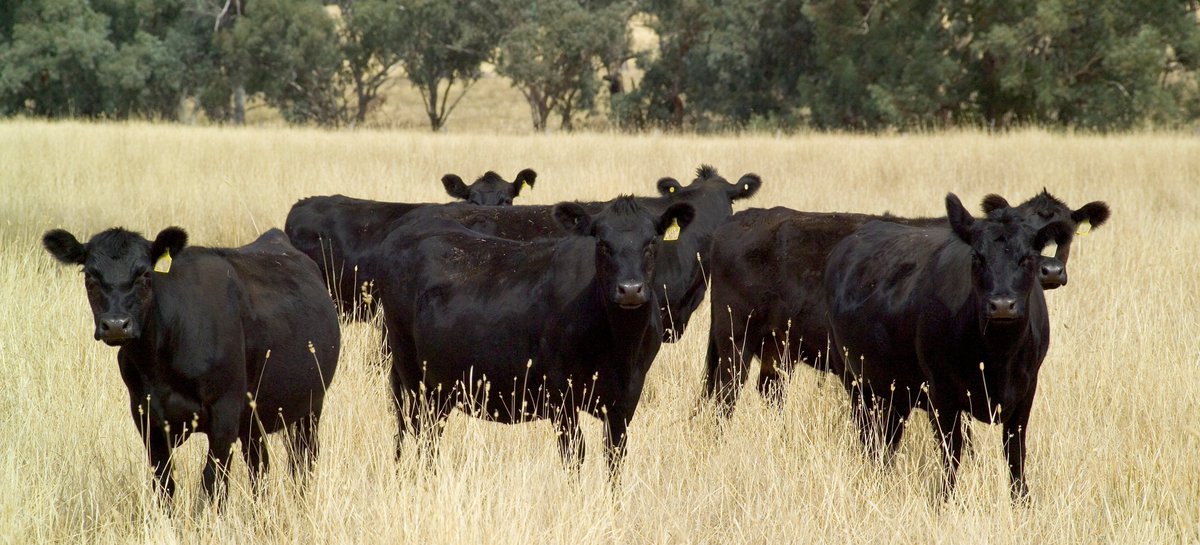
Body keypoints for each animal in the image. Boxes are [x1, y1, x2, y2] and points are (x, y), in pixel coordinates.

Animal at [42, 227, 340, 500]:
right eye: (90, 276)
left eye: (145, 275)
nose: (116, 325)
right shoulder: (147, 418)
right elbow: (165, 485)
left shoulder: (225, 414)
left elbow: (211, 485)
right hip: (255, 419)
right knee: (260, 467)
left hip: (310, 406)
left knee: (302, 462)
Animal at [371, 196, 695, 478]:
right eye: (602, 244)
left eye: (652, 242)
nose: (630, 289)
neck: (620, 346)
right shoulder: (560, 395)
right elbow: (574, 453)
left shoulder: (625, 400)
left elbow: (614, 456)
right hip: (410, 372)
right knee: (420, 432)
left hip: (440, 385)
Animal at [702, 190, 1109, 413]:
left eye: (1063, 234)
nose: (1051, 271)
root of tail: (744, 218)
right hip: (734, 338)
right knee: (724, 395)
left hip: (777, 348)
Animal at [822, 194, 1074, 500]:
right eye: (977, 257)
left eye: (1027, 258)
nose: (1002, 305)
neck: (998, 356)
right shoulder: (942, 393)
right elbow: (952, 452)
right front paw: (945, 500)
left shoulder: (1026, 391)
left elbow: (1015, 452)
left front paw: (1022, 500)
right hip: (854, 380)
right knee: (869, 438)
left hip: (896, 389)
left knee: (888, 440)